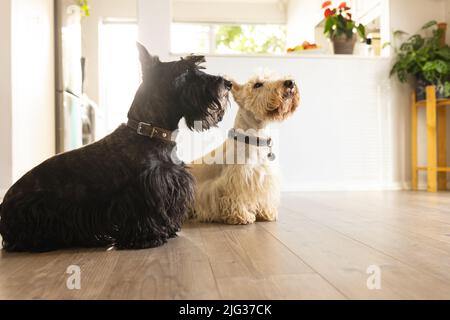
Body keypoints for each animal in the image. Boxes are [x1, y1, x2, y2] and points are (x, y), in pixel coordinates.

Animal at [0, 43, 232, 252]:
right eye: (186, 71)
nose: (227, 83)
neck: (149, 132)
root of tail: (5, 206)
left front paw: (168, 231)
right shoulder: (142, 191)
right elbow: (146, 215)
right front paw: (148, 238)